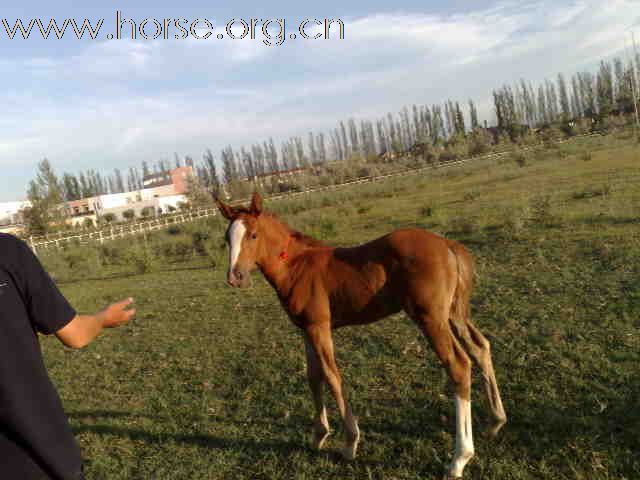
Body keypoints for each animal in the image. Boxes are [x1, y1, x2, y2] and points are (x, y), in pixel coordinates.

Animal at [218, 193, 508, 478]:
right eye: (226, 238)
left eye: (253, 235)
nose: (235, 277)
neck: (296, 267)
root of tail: (448, 244)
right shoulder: (306, 329)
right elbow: (313, 377)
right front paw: (319, 436)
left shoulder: (319, 328)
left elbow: (332, 376)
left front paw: (349, 443)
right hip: (455, 314)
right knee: (481, 348)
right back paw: (495, 422)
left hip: (431, 318)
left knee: (458, 365)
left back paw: (459, 459)